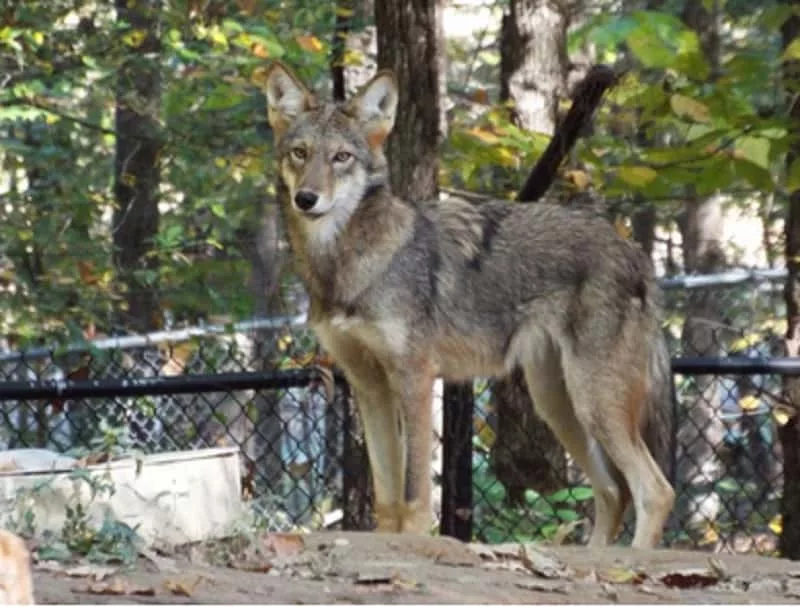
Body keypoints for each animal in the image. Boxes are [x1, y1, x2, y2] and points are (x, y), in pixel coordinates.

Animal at [262, 61, 675, 549]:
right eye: (300, 153)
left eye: (341, 157)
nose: (306, 199)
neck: (349, 263)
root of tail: (636, 254)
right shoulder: (369, 386)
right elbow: (386, 497)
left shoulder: (415, 379)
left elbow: (414, 495)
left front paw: (415, 545)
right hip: (559, 405)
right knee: (613, 492)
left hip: (593, 401)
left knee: (655, 491)